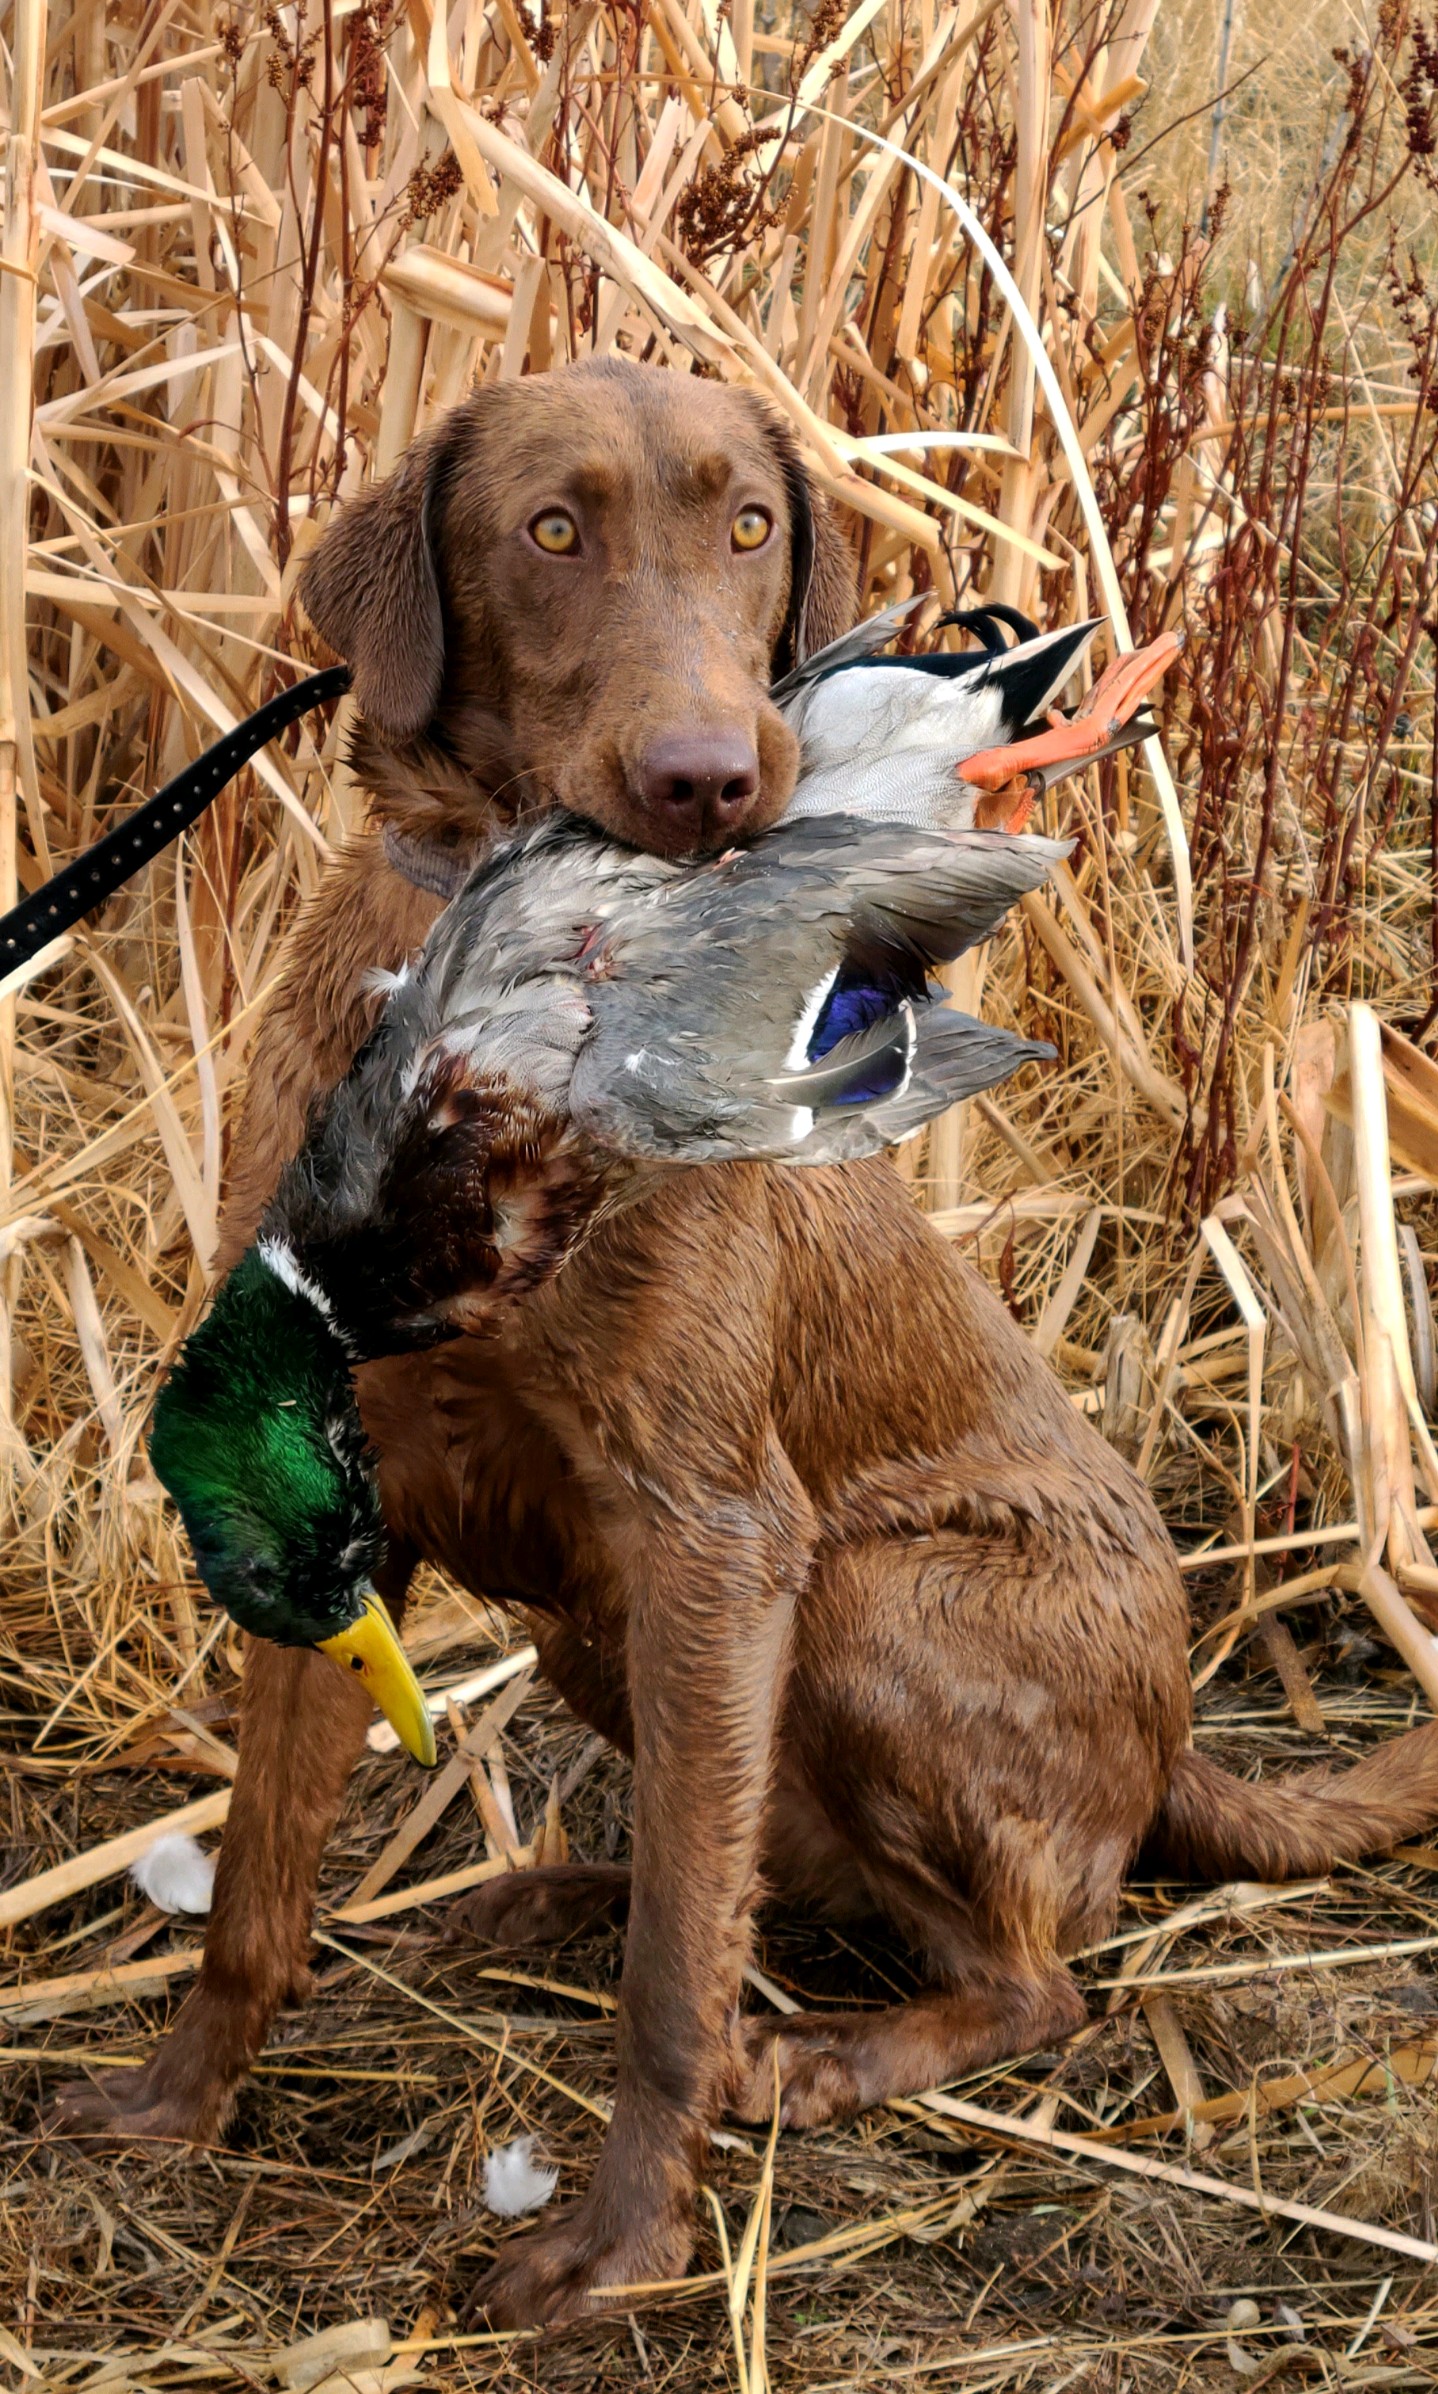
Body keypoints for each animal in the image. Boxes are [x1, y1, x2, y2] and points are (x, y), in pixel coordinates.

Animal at [56, 354, 1438, 2317]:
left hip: (861, 1603)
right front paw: (174, 2100)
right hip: (597, 1622)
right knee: (761, 1870)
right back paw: (556, 1894)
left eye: (751, 525)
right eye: (551, 527)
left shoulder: (718, 1532)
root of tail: (1178, 1742)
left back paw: (822, 2053)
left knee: (1019, 1969)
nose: (713, 778)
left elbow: (672, 1983)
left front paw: (618, 2244)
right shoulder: (349, 1495)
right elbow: (257, 1869)